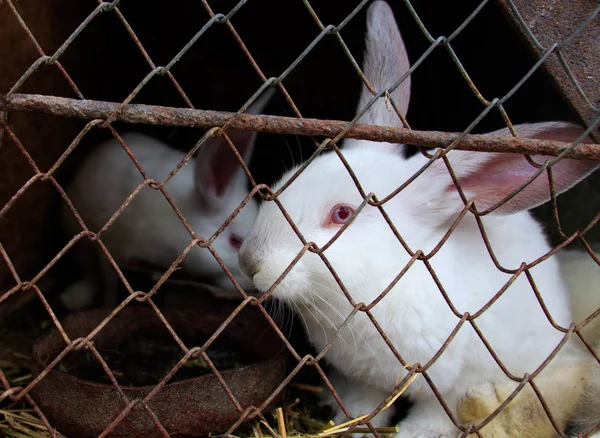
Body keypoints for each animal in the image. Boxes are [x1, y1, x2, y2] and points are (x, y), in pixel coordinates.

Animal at [237, 1, 596, 436]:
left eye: (342, 214)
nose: (249, 262)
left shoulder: (454, 386)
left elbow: (433, 420)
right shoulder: (364, 380)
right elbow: (364, 405)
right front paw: (354, 425)